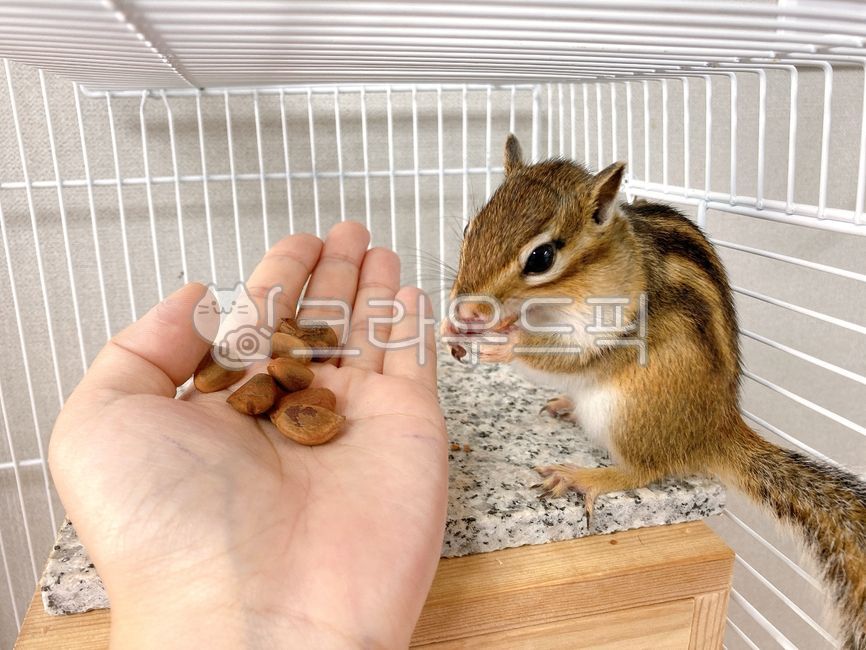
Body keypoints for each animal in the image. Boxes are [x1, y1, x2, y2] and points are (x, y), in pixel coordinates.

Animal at [441, 134, 866, 649]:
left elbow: (568, 357)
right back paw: (564, 405)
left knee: (645, 469)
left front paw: (504, 341)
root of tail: (717, 429)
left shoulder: (613, 328)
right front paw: (452, 328)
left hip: (629, 411)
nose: (467, 310)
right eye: (471, 226)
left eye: (541, 258)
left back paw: (585, 477)